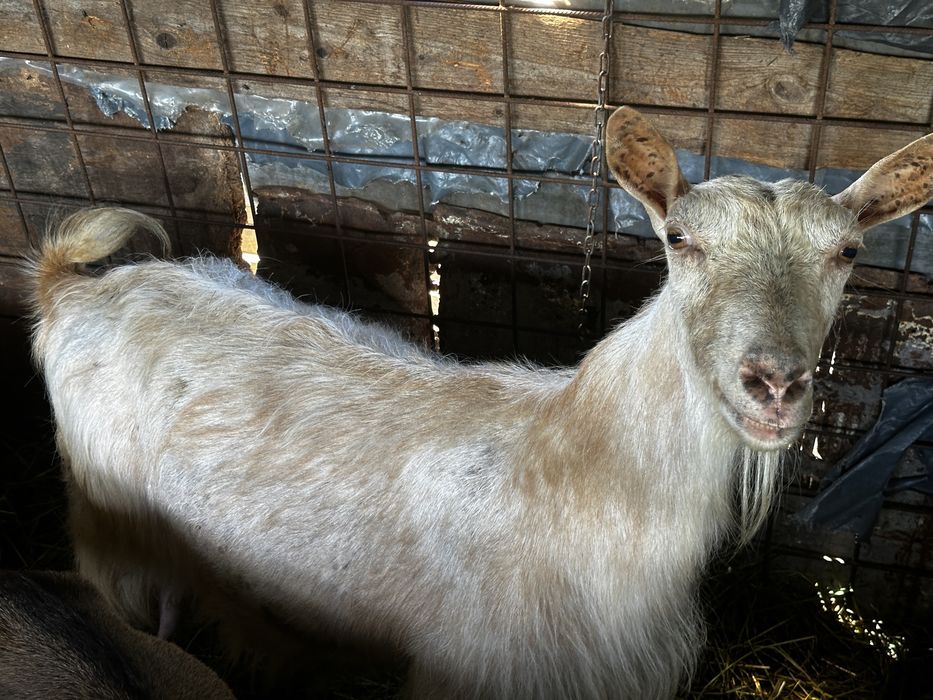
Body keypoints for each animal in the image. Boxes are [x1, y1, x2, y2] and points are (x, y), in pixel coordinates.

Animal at [28, 107, 932, 698]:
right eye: (680, 240)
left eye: (848, 253)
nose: (773, 383)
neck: (582, 463)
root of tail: (70, 289)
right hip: (112, 541)